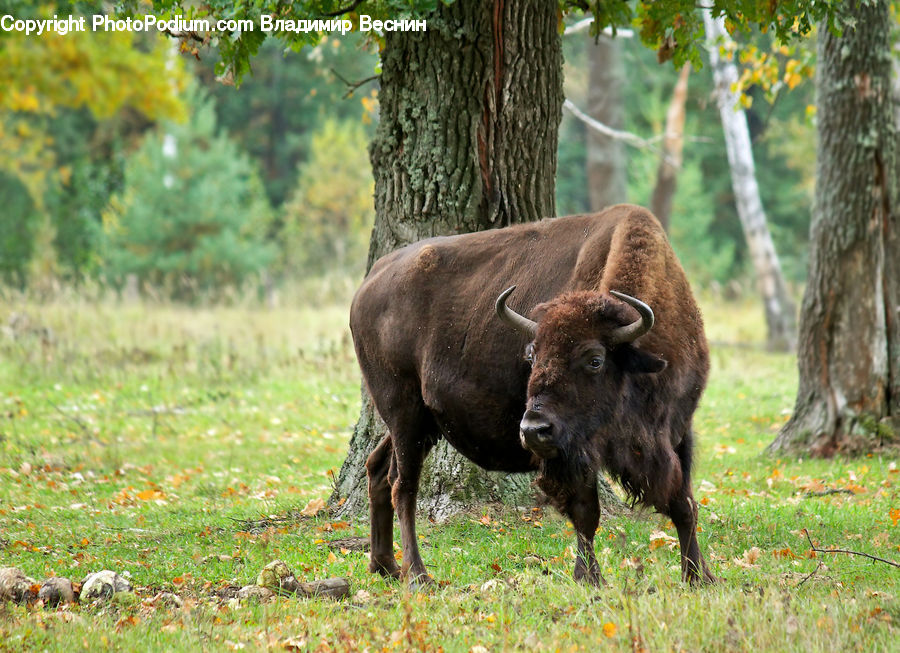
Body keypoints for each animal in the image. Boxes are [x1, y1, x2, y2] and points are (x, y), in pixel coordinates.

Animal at [350, 204, 716, 587]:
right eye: (532, 356)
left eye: (595, 359)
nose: (532, 430)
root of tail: (368, 285)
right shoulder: (573, 451)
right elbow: (587, 512)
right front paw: (589, 578)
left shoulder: (677, 430)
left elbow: (685, 504)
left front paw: (699, 576)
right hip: (403, 411)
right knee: (402, 486)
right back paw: (417, 575)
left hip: (421, 423)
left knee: (378, 469)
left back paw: (385, 566)